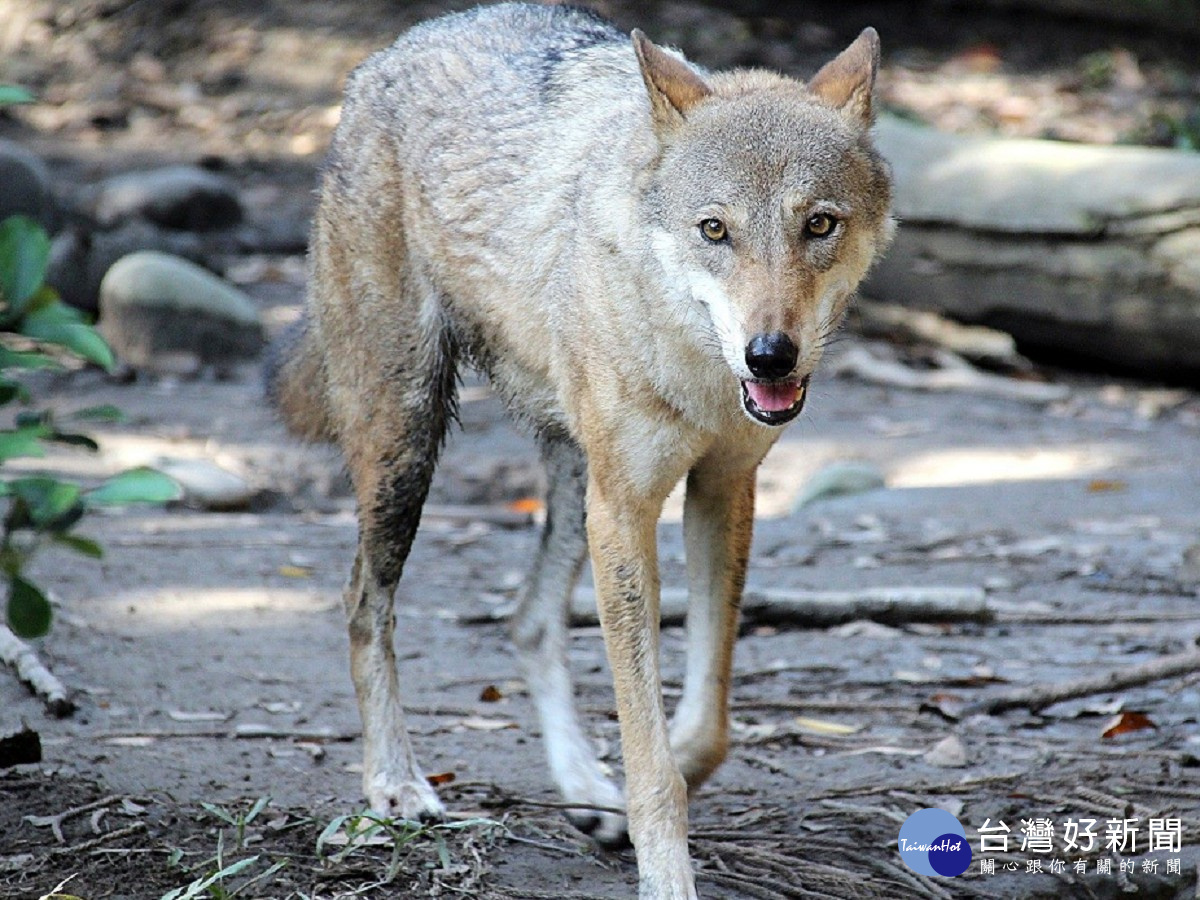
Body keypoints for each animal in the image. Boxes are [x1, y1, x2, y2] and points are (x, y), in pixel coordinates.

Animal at [270, 5, 892, 897]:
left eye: (819, 224)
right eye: (715, 230)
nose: (770, 356)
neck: (696, 367)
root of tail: (391, 54)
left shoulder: (721, 488)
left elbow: (704, 722)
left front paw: (632, 793)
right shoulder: (627, 509)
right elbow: (651, 750)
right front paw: (665, 871)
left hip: (572, 485)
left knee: (529, 620)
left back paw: (582, 789)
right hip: (410, 451)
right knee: (363, 603)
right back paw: (395, 784)